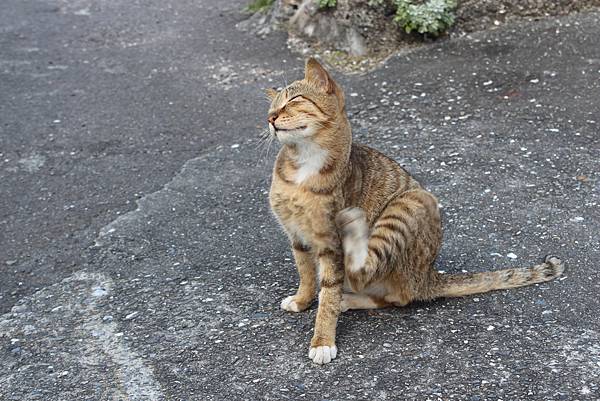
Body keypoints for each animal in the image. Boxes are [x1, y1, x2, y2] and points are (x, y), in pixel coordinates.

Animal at [266, 57, 564, 364]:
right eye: (272, 106)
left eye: (293, 100)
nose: (271, 119)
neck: (303, 165)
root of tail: (429, 277)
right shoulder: (297, 237)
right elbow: (306, 274)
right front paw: (302, 300)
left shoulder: (329, 244)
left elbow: (327, 292)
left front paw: (323, 340)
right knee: (384, 294)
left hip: (410, 204)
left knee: (383, 285)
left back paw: (351, 254)